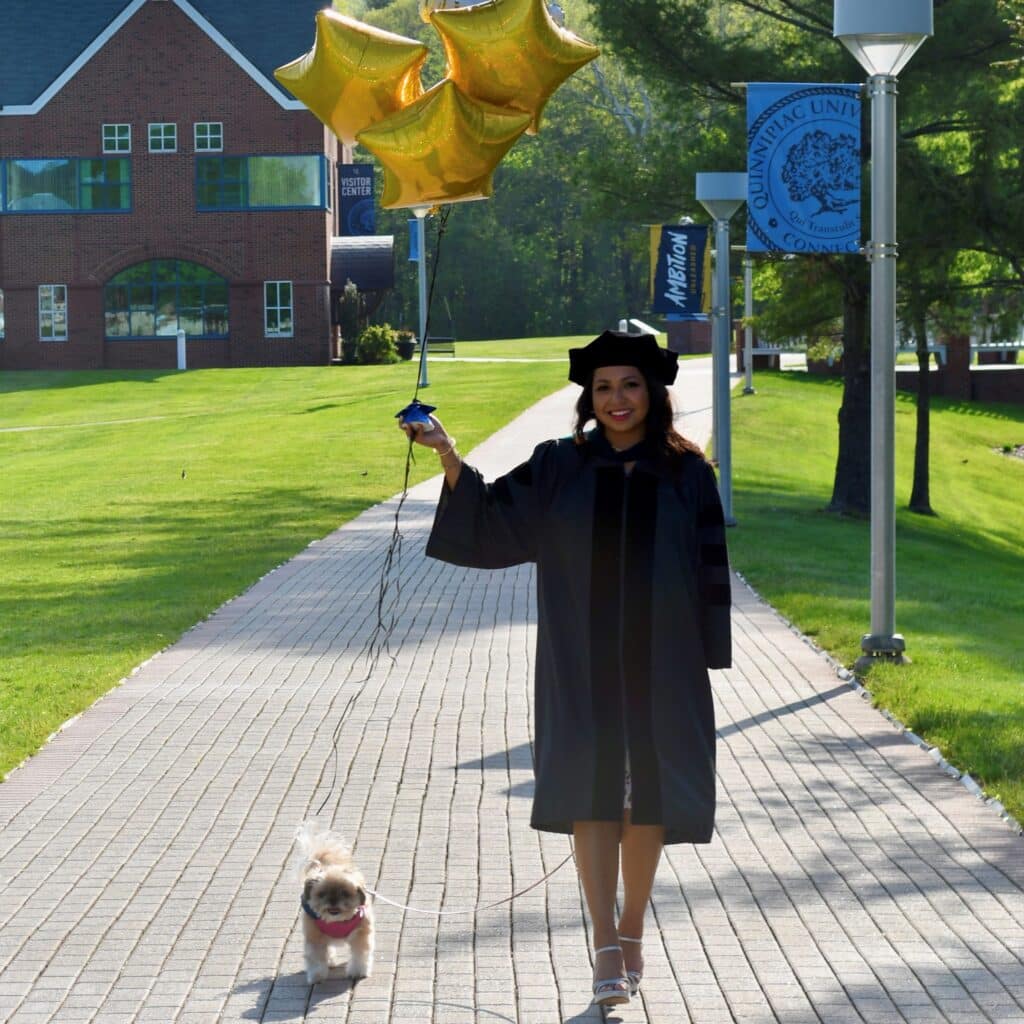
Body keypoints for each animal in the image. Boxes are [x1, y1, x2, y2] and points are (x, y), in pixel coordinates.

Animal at [294, 823, 374, 983]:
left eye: (345, 893)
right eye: (322, 894)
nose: (333, 901)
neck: (337, 921)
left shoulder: (360, 934)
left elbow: (360, 955)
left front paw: (358, 971)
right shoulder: (315, 937)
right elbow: (316, 959)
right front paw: (317, 975)